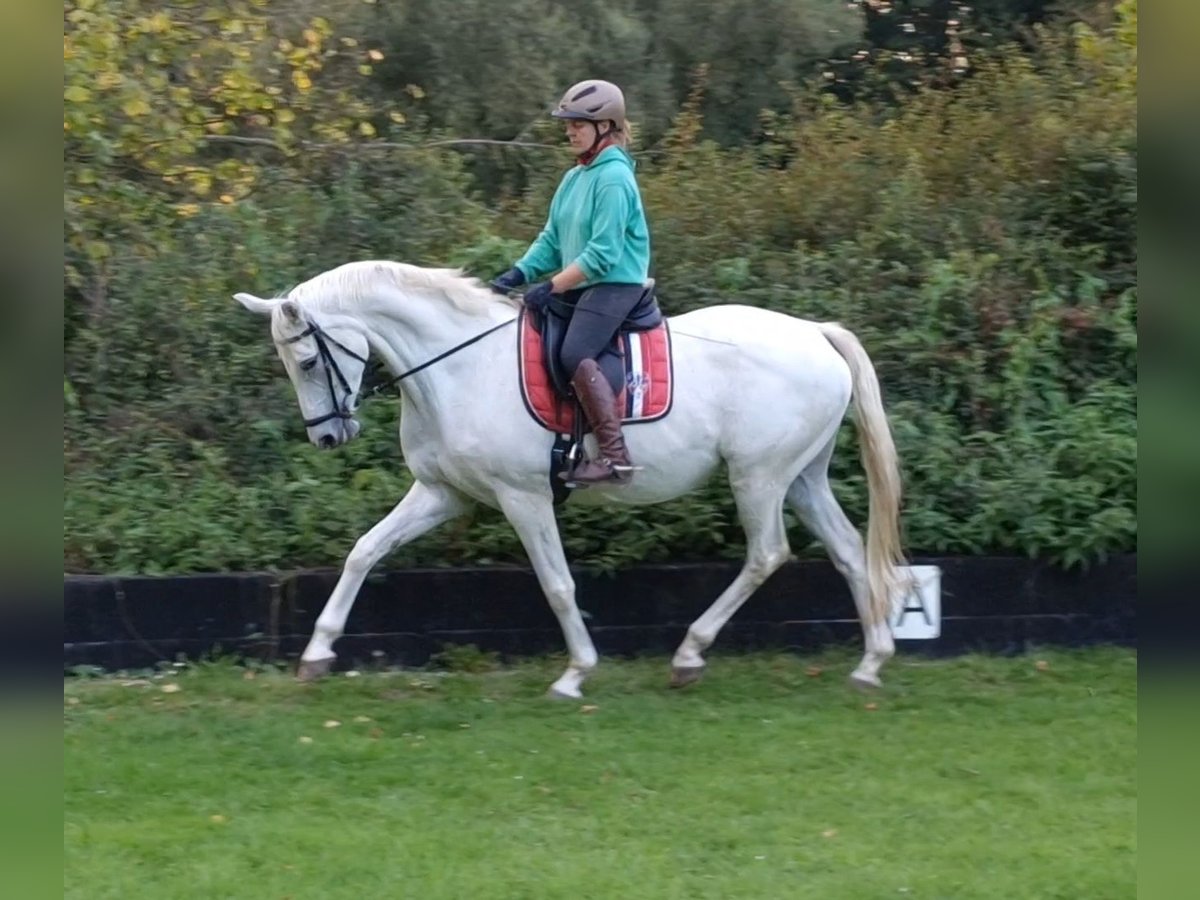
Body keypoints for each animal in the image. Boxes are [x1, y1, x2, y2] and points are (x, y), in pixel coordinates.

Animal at [234, 259, 902, 696]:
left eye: (307, 359)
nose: (327, 437)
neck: (457, 368)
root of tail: (815, 332)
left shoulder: (523, 496)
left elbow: (557, 585)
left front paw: (576, 672)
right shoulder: (443, 493)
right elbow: (364, 551)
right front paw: (317, 651)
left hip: (758, 477)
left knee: (767, 554)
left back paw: (690, 653)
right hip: (801, 477)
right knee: (847, 550)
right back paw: (871, 663)